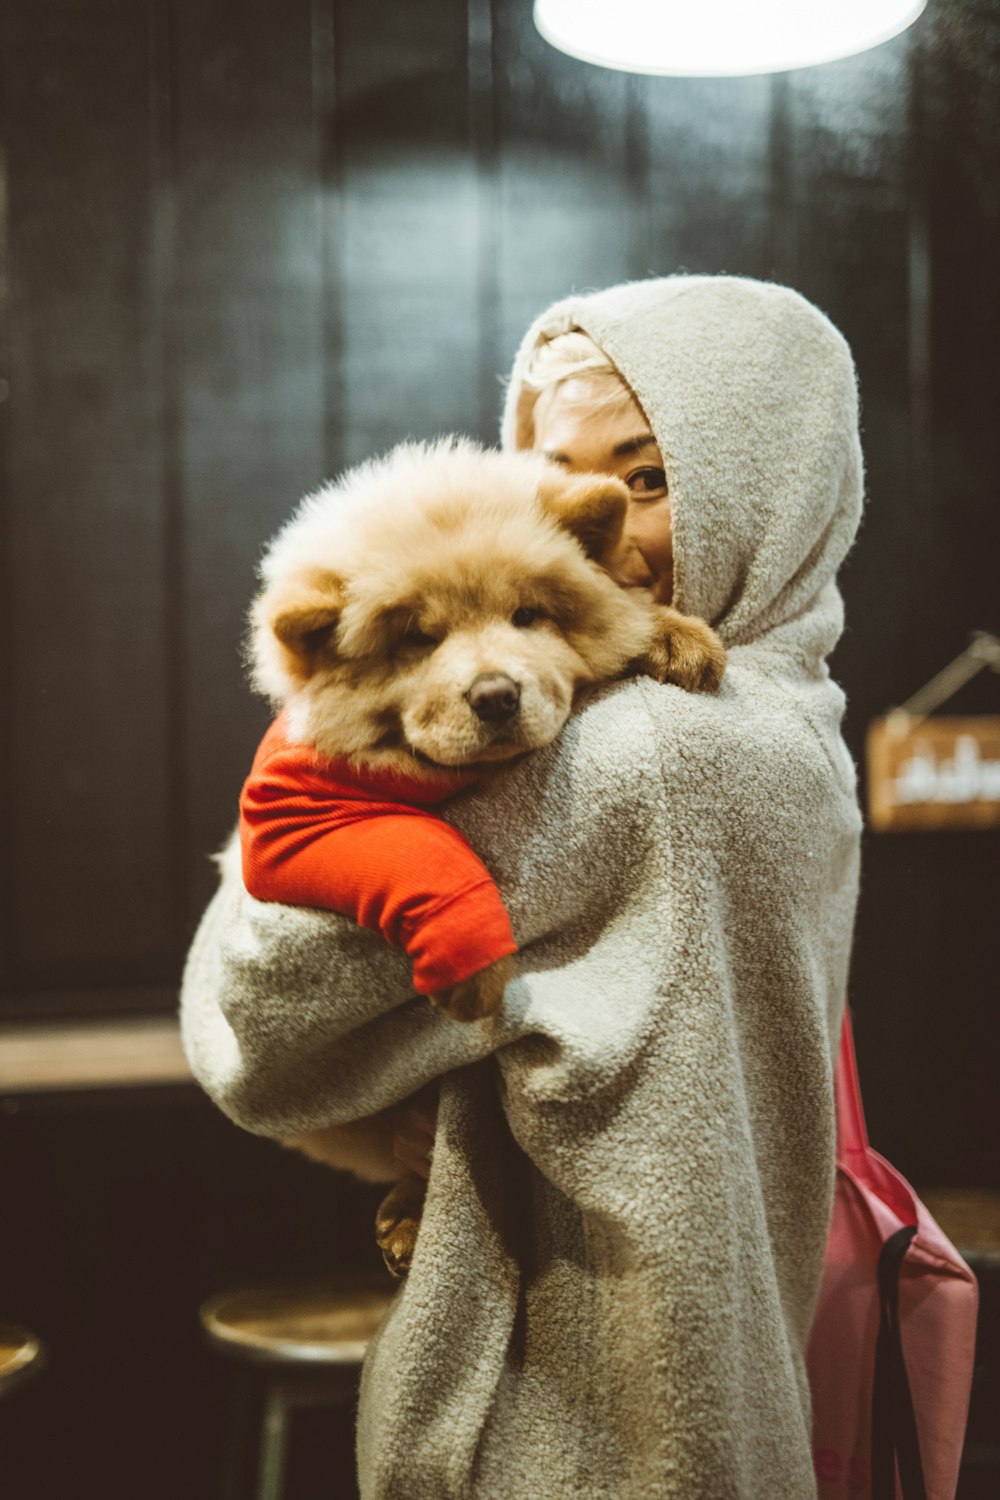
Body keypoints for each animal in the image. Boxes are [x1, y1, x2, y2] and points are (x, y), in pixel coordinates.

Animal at [242, 438, 728, 1278]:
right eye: (417, 639)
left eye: (527, 615)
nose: (497, 694)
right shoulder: (283, 818)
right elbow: (416, 846)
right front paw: (471, 962)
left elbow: (625, 617)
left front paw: (674, 636)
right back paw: (407, 1218)